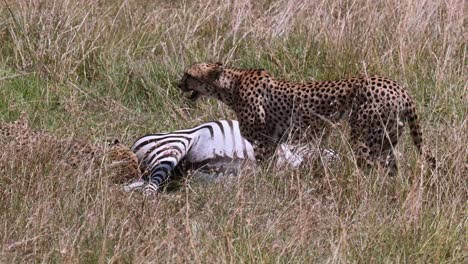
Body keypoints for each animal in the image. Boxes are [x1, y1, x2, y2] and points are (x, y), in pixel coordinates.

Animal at [178, 62, 436, 173]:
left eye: (188, 74)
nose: (177, 84)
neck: (231, 85)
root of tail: (399, 87)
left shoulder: (262, 143)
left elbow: (263, 171)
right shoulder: (273, 143)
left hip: (364, 138)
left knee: (372, 169)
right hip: (386, 140)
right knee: (392, 169)